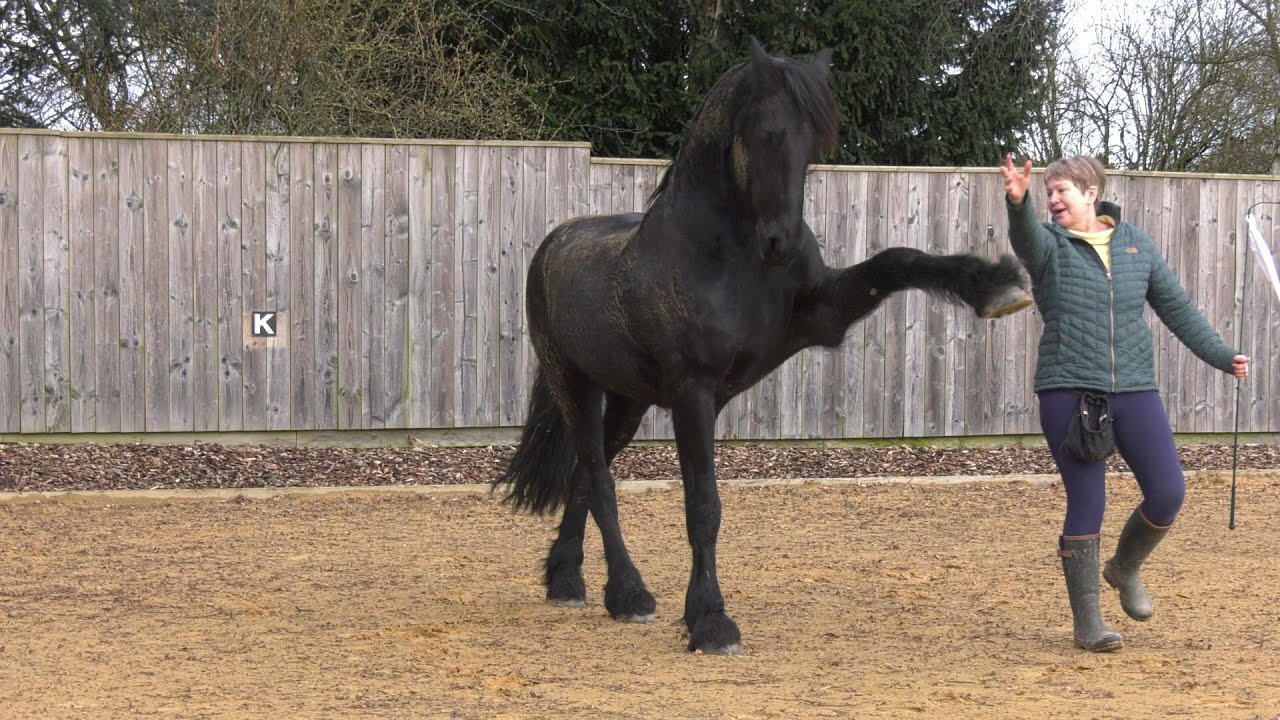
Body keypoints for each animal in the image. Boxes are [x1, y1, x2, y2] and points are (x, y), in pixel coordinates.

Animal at [492, 39, 1031, 655]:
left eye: (816, 141)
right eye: (769, 133)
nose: (782, 242)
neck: (728, 257)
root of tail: (553, 245)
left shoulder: (823, 318)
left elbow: (897, 259)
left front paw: (996, 286)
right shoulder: (694, 394)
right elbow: (703, 506)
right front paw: (710, 621)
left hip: (628, 401)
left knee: (586, 473)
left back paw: (567, 579)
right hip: (574, 386)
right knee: (598, 479)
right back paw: (628, 595)